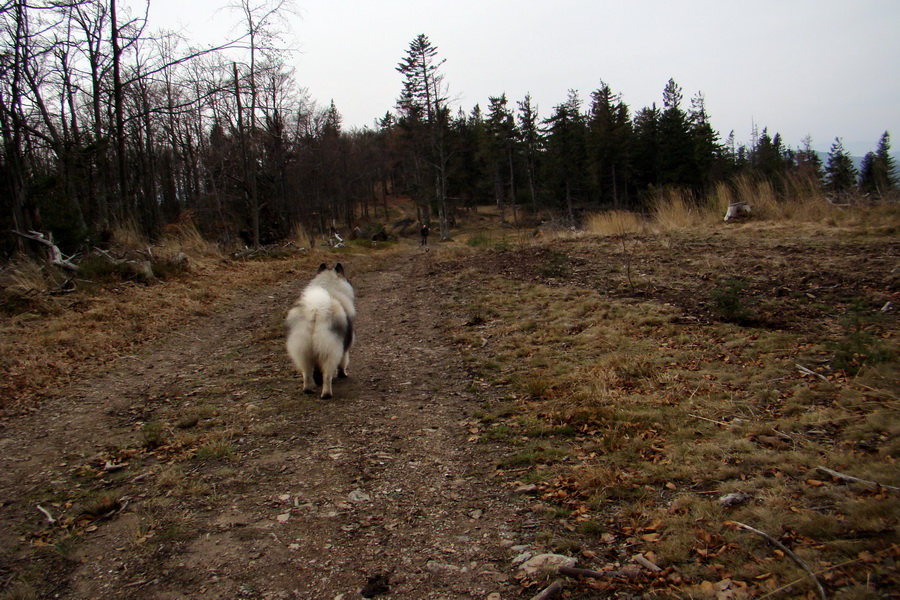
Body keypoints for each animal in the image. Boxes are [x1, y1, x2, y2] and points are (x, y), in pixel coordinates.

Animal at [288, 262, 358, 398]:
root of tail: (315, 310)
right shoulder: (344, 348)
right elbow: (343, 363)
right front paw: (343, 374)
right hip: (330, 352)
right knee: (327, 376)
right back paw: (326, 394)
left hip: (303, 352)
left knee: (307, 373)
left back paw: (308, 389)